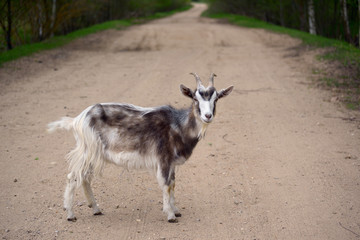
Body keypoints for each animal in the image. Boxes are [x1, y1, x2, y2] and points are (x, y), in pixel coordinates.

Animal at [47, 73, 233, 223]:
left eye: (216, 99)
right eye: (195, 99)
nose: (207, 116)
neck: (178, 126)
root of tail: (77, 120)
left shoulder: (171, 162)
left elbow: (173, 184)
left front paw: (176, 210)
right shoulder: (163, 158)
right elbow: (166, 185)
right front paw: (170, 215)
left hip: (93, 154)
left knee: (85, 178)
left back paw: (96, 209)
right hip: (88, 150)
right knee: (73, 177)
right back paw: (70, 214)